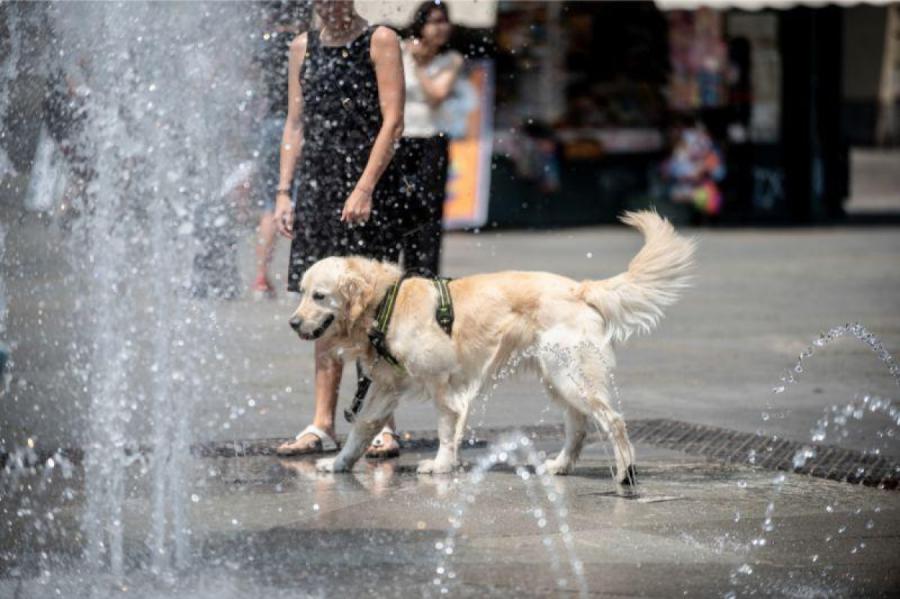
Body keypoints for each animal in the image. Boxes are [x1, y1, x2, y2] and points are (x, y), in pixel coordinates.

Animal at [290, 211, 696, 482]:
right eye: (302, 292)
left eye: (319, 296)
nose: (293, 322)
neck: (384, 303)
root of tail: (579, 287)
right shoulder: (386, 386)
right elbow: (362, 427)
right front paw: (338, 463)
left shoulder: (443, 384)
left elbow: (445, 429)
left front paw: (441, 465)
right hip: (559, 377)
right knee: (578, 427)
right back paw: (560, 466)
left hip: (573, 376)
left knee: (612, 421)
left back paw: (626, 474)